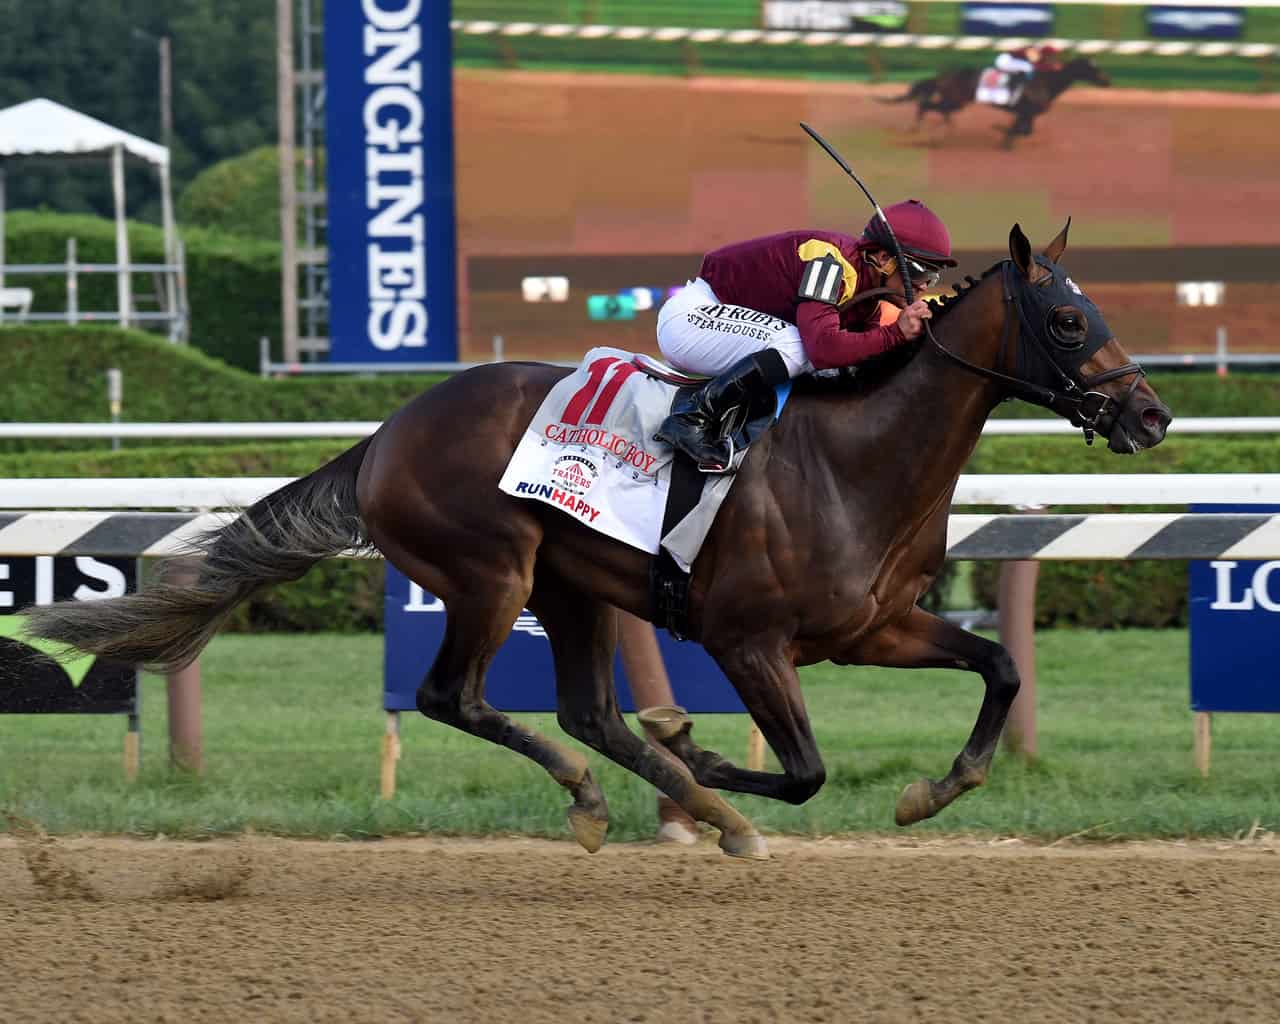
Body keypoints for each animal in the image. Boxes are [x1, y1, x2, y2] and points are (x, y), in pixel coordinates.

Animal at [27, 221, 1172, 855]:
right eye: (1068, 321)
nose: (1152, 415)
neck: (860, 458)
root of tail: (388, 432)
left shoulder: (874, 628)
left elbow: (999, 668)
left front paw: (932, 790)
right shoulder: (746, 638)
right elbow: (802, 767)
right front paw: (704, 747)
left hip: (567, 583)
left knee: (585, 711)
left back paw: (697, 812)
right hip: (489, 571)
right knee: (457, 698)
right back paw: (619, 798)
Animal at [890, 57, 1111, 145]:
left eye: (1098, 67)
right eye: (1092, 68)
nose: (1107, 81)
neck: (1047, 82)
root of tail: (942, 76)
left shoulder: (1027, 114)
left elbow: (1025, 130)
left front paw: (1003, 132)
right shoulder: (1025, 112)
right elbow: (1020, 129)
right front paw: (1003, 134)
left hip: (953, 101)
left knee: (935, 108)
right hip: (955, 100)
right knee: (927, 106)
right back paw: (922, 129)